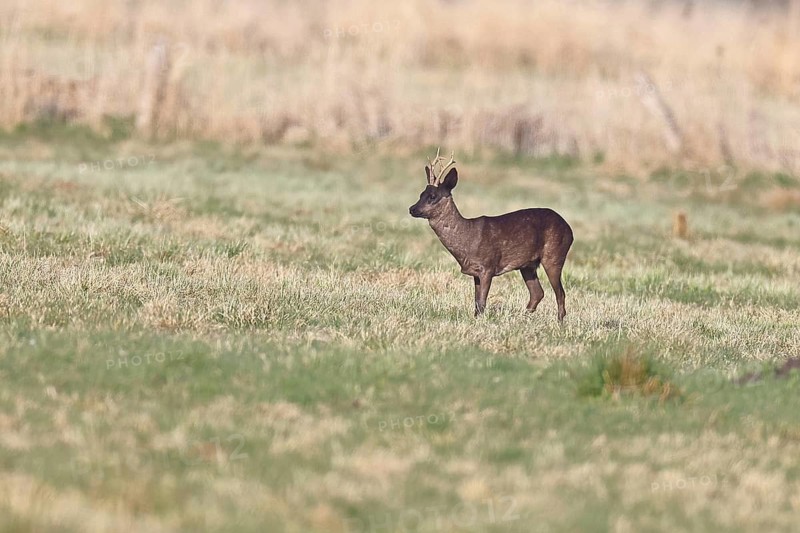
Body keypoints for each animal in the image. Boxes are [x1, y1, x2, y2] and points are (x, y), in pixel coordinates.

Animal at [409, 149, 574, 321]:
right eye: (421, 194)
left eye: (432, 196)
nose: (412, 209)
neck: (468, 237)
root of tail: (569, 229)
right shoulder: (475, 272)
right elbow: (476, 303)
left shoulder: (487, 267)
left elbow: (482, 303)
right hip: (527, 265)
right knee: (537, 293)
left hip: (554, 255)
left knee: (560, 293)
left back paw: (559, 322)